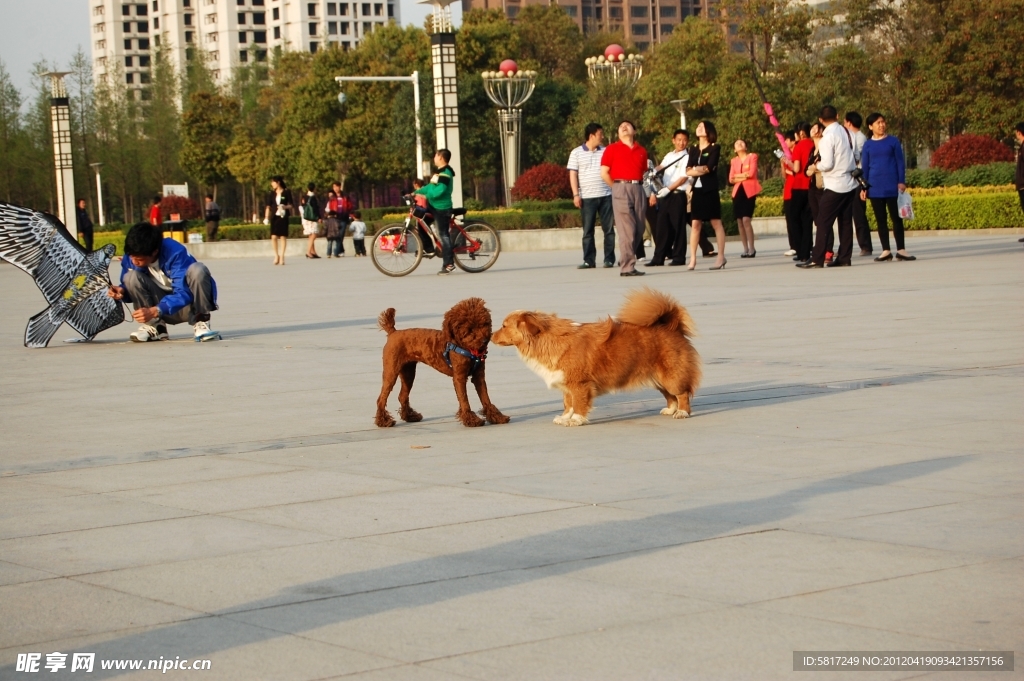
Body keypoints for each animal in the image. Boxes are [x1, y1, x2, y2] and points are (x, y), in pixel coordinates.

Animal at [489, 286, 700, 426]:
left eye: (504, 326)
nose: (490, 335)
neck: (547, 340)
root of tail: (671, 325)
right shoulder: (566, 385)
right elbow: (568, 403)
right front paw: (564, 417)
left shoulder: (579, 384)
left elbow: (579, 404)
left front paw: (576, 420)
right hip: (657, 379)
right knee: (670, 396)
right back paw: (670, 410)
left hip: (670, 376)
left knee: (682, 394)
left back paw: (682, 412)